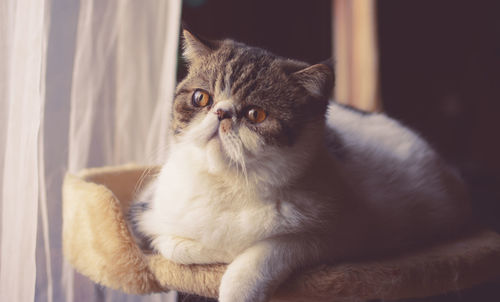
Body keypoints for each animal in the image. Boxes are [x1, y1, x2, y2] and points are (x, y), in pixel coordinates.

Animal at [130, 28, 472, 302]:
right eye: (201, 98)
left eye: (256, 114)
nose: (222, 113)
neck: (228, 184)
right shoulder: (143, 213)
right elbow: (173, 246)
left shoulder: (341, 236)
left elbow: (267, 252)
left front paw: (237, 282)